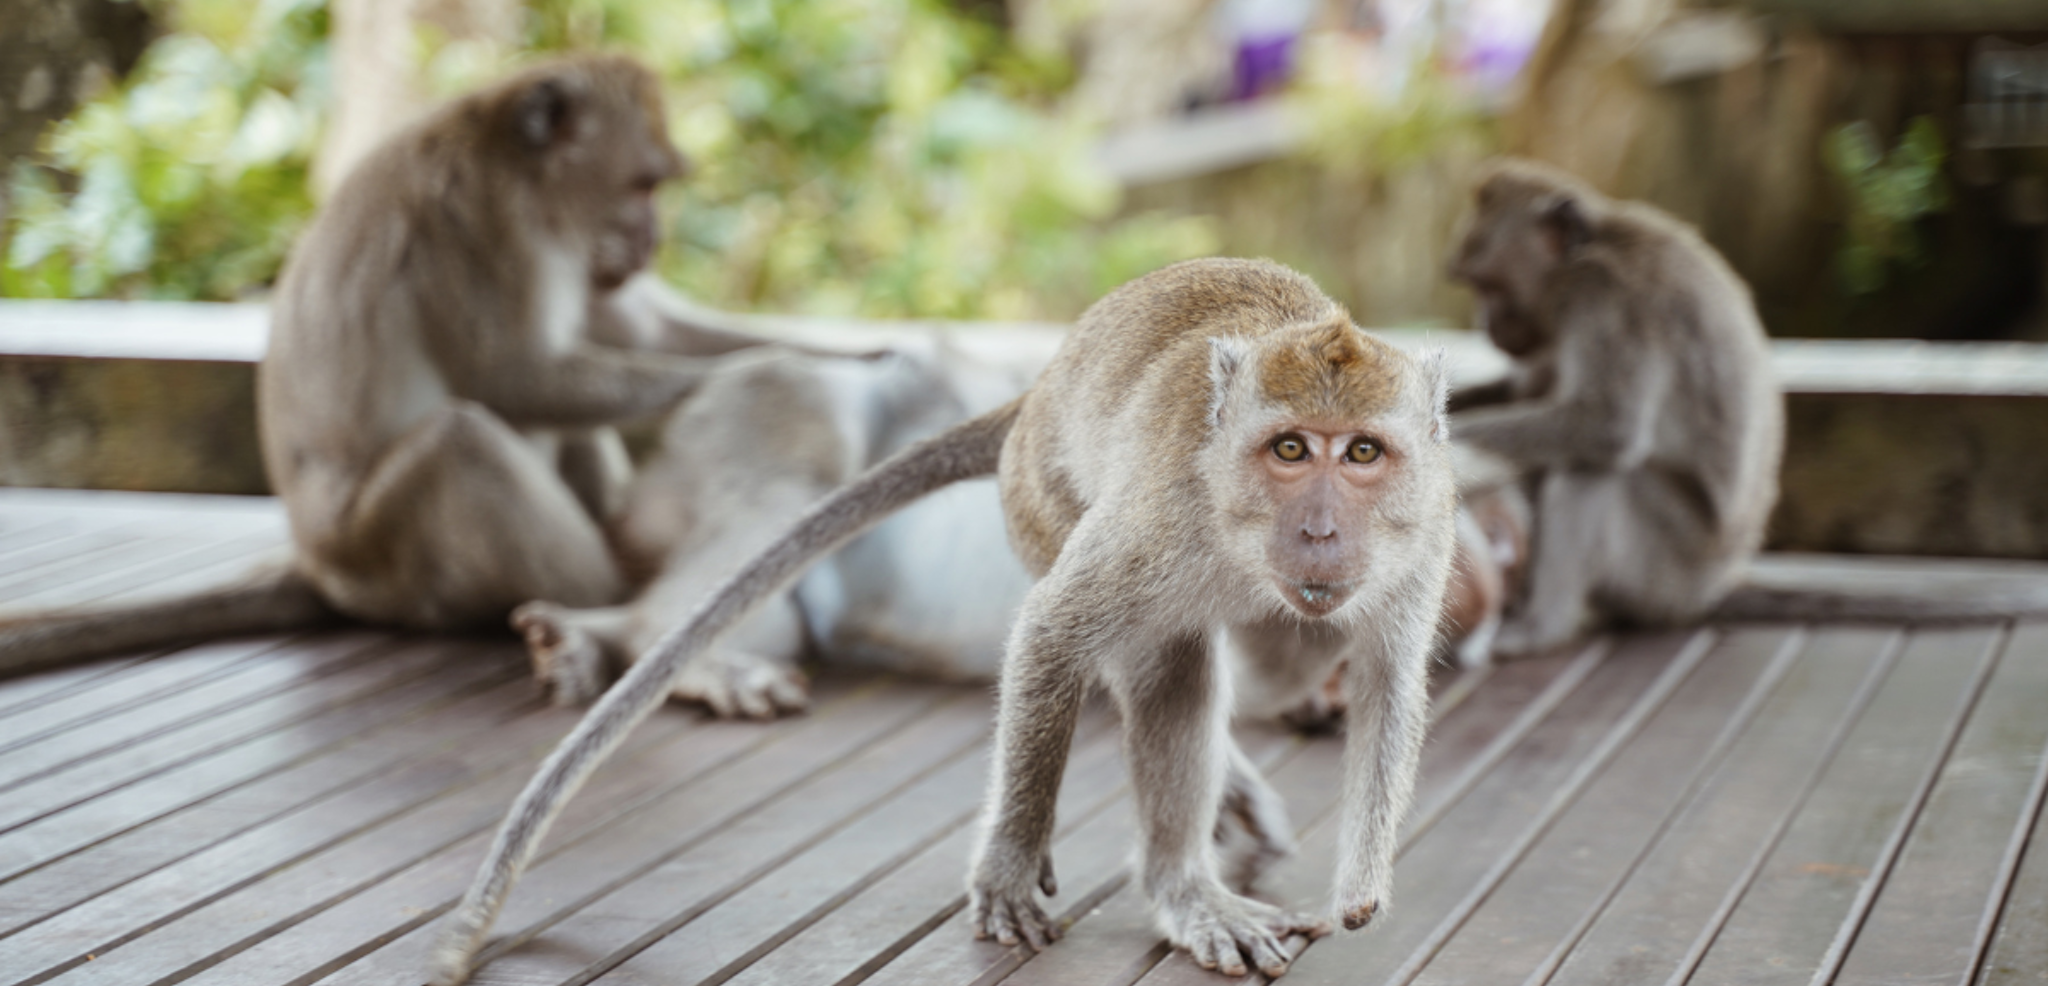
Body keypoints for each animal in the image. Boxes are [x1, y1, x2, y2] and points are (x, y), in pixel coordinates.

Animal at [0, 55, 781, 672]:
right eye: (644, 185)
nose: (653, 238)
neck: (520, 168)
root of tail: (318, 567)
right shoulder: (485, 225)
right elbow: (513, 376)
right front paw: (752, 376)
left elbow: (647, 332)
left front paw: (801, 354)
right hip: (385, 559)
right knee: (461, 441)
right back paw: (611, 606)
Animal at [1446, 157, 1784, 660]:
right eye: (1472, 285)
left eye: (1488, 285)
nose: (1482, 322)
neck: (1589, 250)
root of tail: (1716, 584)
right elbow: (1524, 394)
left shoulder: (1602, 298)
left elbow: (1606, 426)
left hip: (1668, 569)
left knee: (1589, 472)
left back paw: (1541, 627)